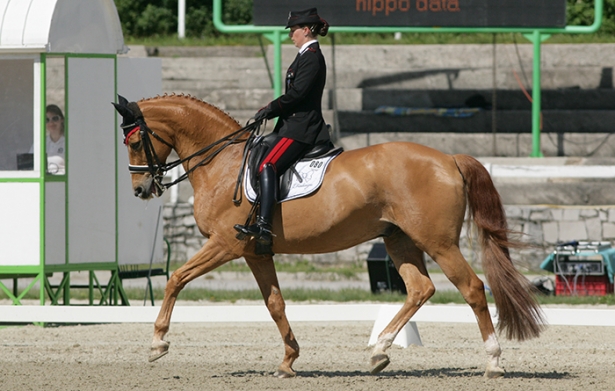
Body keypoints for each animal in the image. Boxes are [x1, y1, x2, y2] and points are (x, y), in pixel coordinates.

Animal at [113, 93, 548, 378]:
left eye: (133, 141)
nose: (141, 190)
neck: (222, 164)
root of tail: (449, 158)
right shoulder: (256, 252)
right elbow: (275, 304)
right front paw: (289, 360)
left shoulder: (224, 244)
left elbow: (175, 278)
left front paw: (157, 344)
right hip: (398, 239)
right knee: (420, 288)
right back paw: (378, 353)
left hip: (438, 242)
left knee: (472, 288)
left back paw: (493, 361)